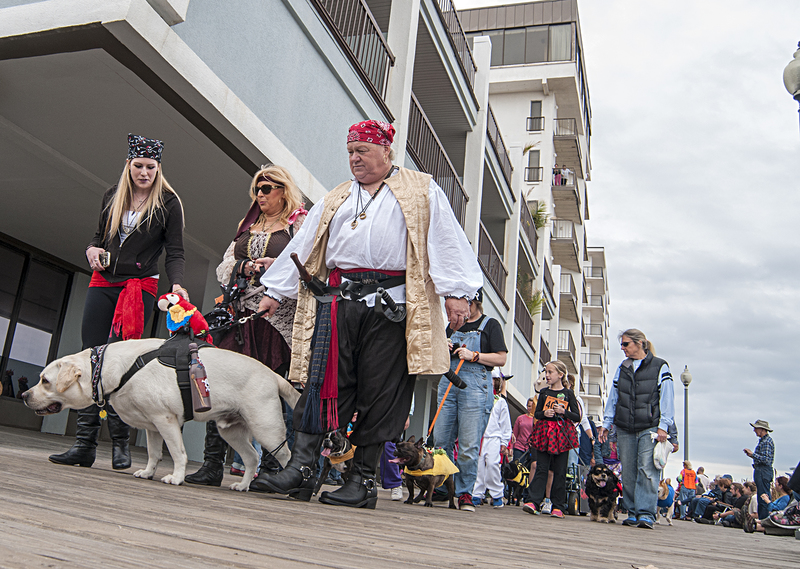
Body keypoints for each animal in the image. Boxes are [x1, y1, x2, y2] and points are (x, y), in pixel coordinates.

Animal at [26, 338, 300, 488]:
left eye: (45, 381)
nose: (25, 395)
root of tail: (273, 374)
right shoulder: (152, 426)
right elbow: (154, 453)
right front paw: (148, 473)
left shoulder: (166, 420)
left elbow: (178, 453)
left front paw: (176, 477)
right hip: (231, 431)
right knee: (252, 457)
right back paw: (243, 486)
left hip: (266, 427)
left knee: (286, 455)